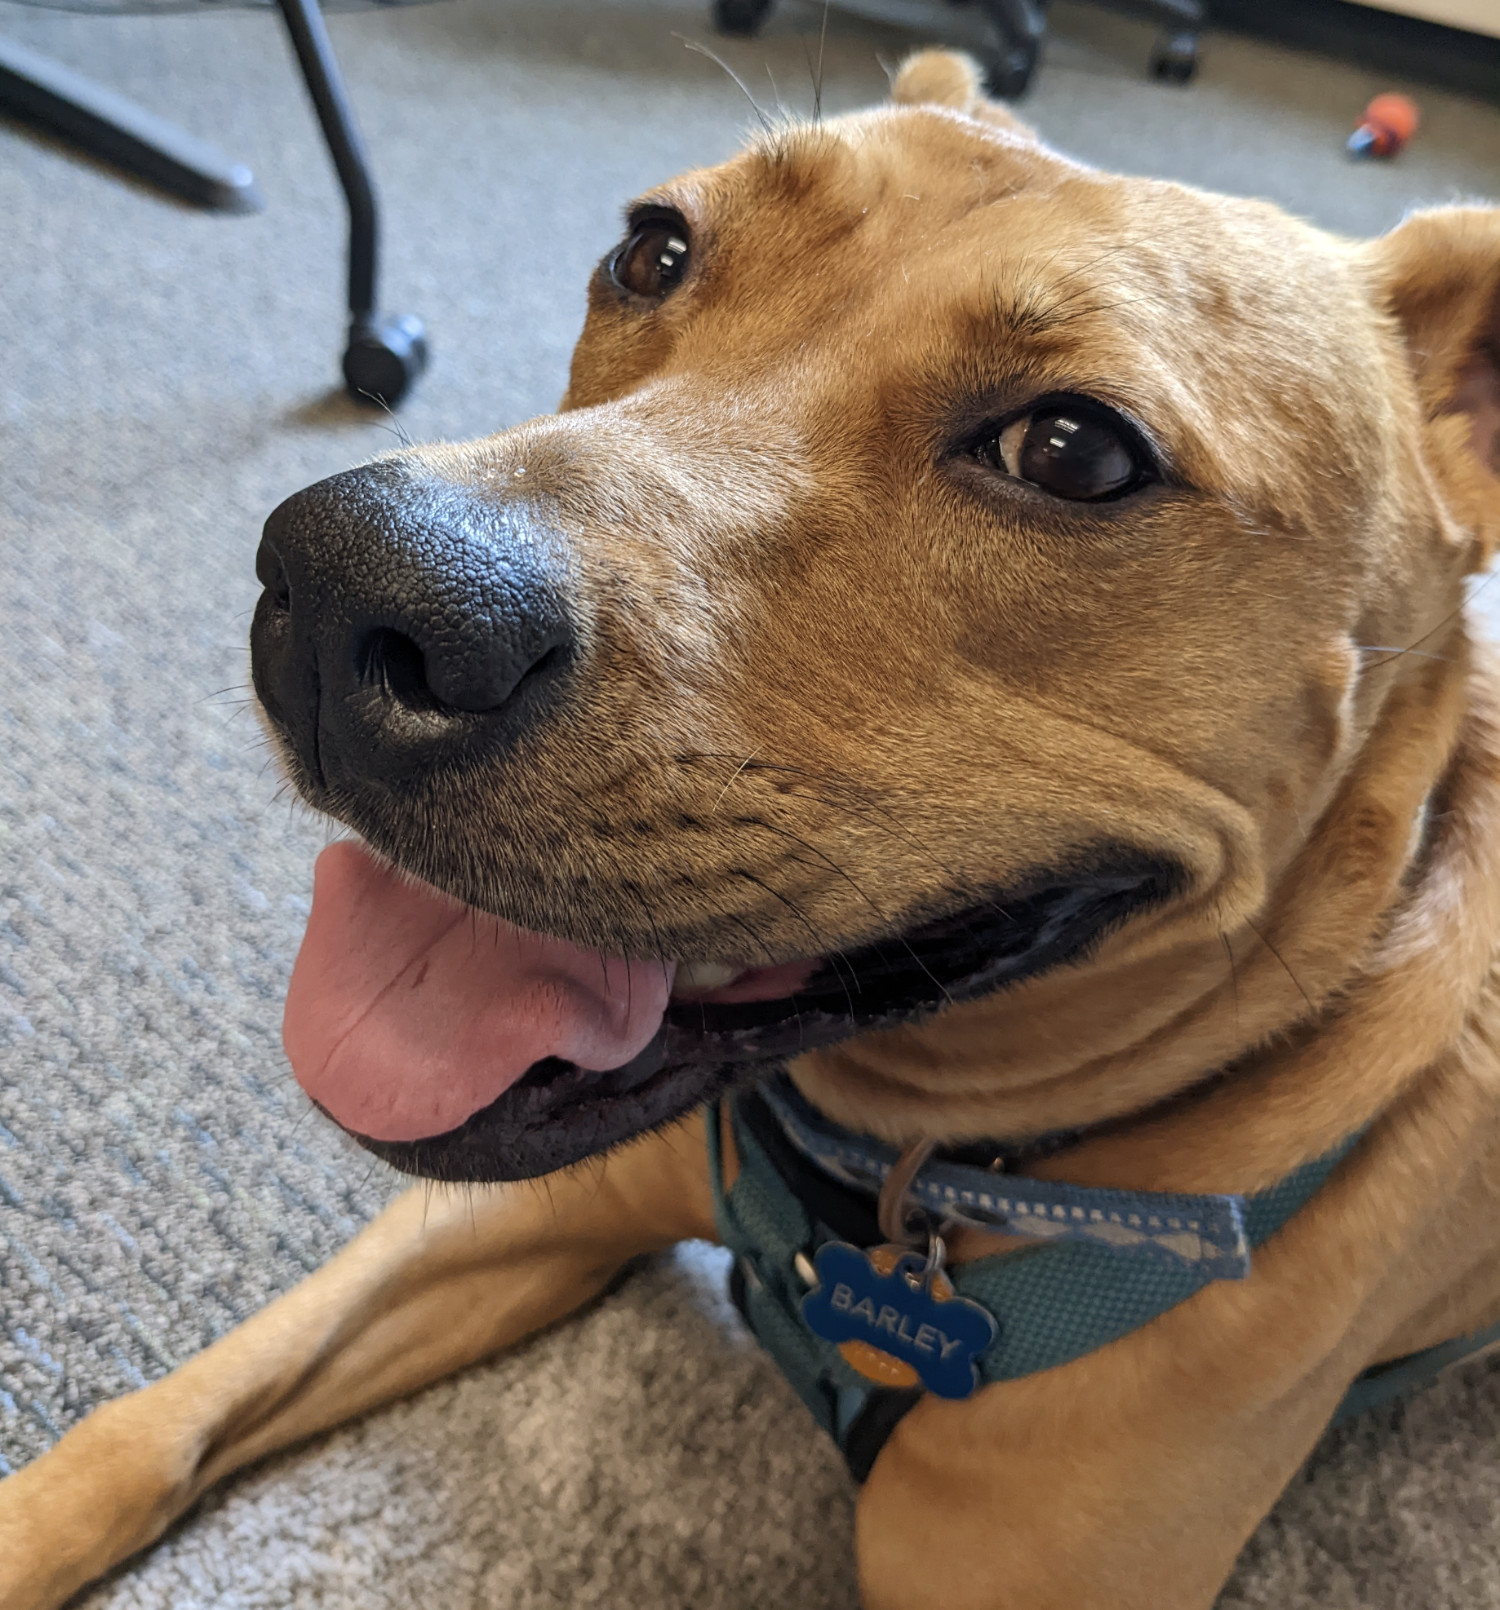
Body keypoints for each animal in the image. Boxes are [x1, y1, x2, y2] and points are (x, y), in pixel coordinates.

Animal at [8, 50, 1500, 1610]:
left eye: (1077, 451)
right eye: (654, 249)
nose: (352, 588)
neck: (889, 1193)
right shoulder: (509, 1218)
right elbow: (151, 1424)